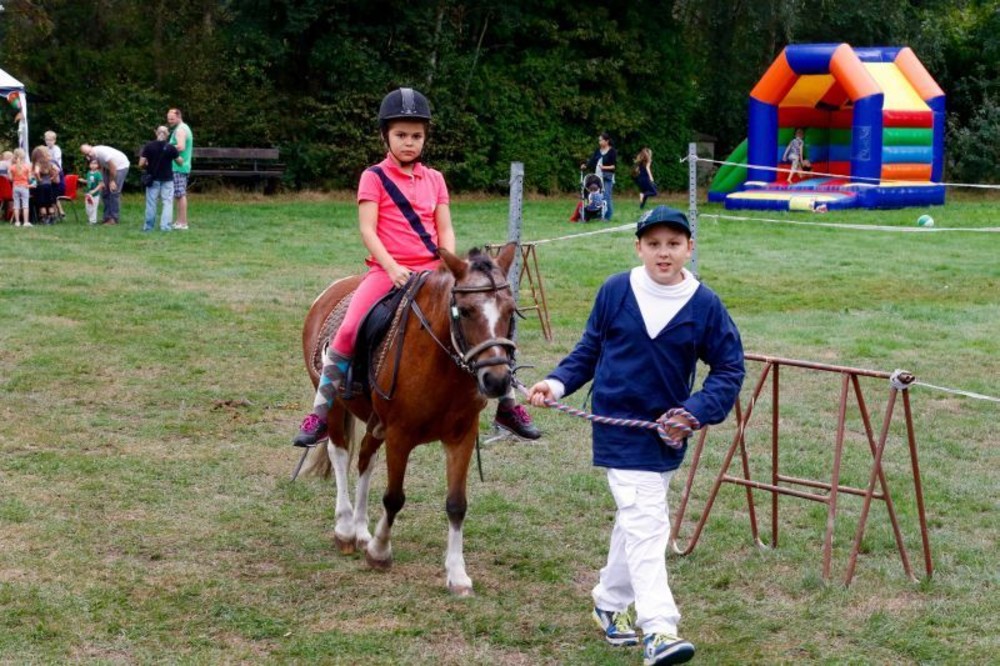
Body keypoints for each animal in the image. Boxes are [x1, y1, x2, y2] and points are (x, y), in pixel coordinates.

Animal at [299, 243, 519, 595]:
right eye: (466, 311)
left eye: (510, 310)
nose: (497, 380)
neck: (440, 362)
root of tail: (330, 292)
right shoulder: (400, 435)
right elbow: (394, 498)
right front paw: (380, 552)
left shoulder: (462, 436)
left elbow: (457, 504)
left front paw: (457, 574)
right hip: (335, 407)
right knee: (340, 453)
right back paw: (345, 529)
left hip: (375, 422)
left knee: (365, 458)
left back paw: (361, 531)